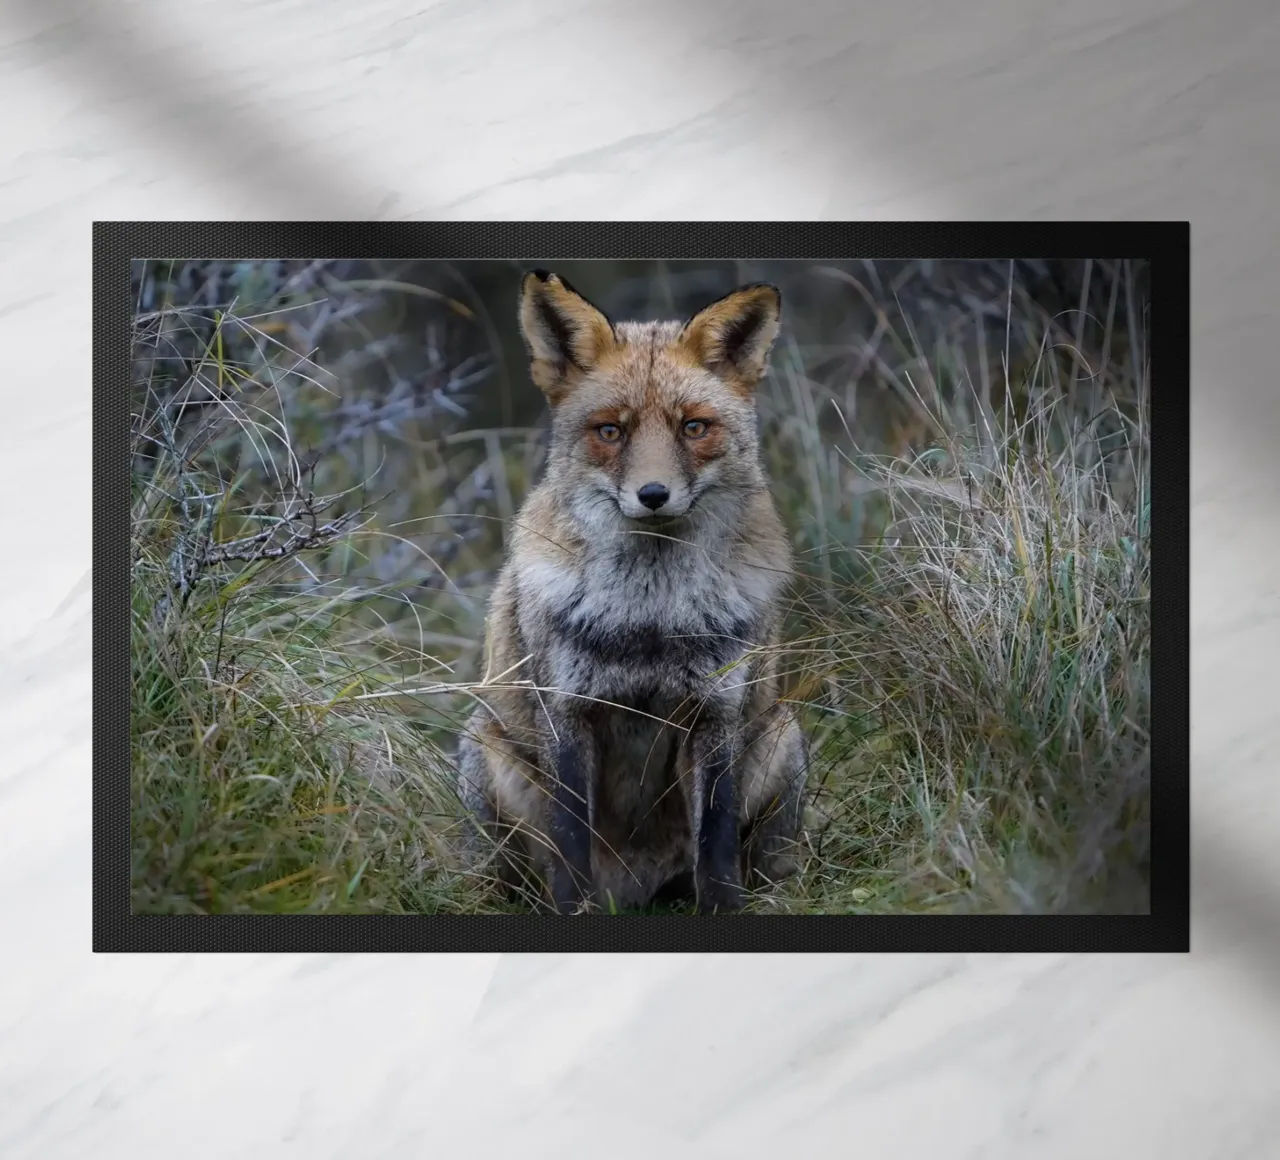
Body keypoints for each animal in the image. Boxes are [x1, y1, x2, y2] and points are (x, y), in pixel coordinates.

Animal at [456, 269, 807, 913]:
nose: (653, 495)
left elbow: (716, 843)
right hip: (483, 755)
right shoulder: (567, 712)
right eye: (610, 431)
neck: (649, 617)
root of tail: (637, 890)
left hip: (782, 734)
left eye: (693, 427)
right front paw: (574, 913)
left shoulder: (715, 712)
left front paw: (724, 911)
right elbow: (571, 845)